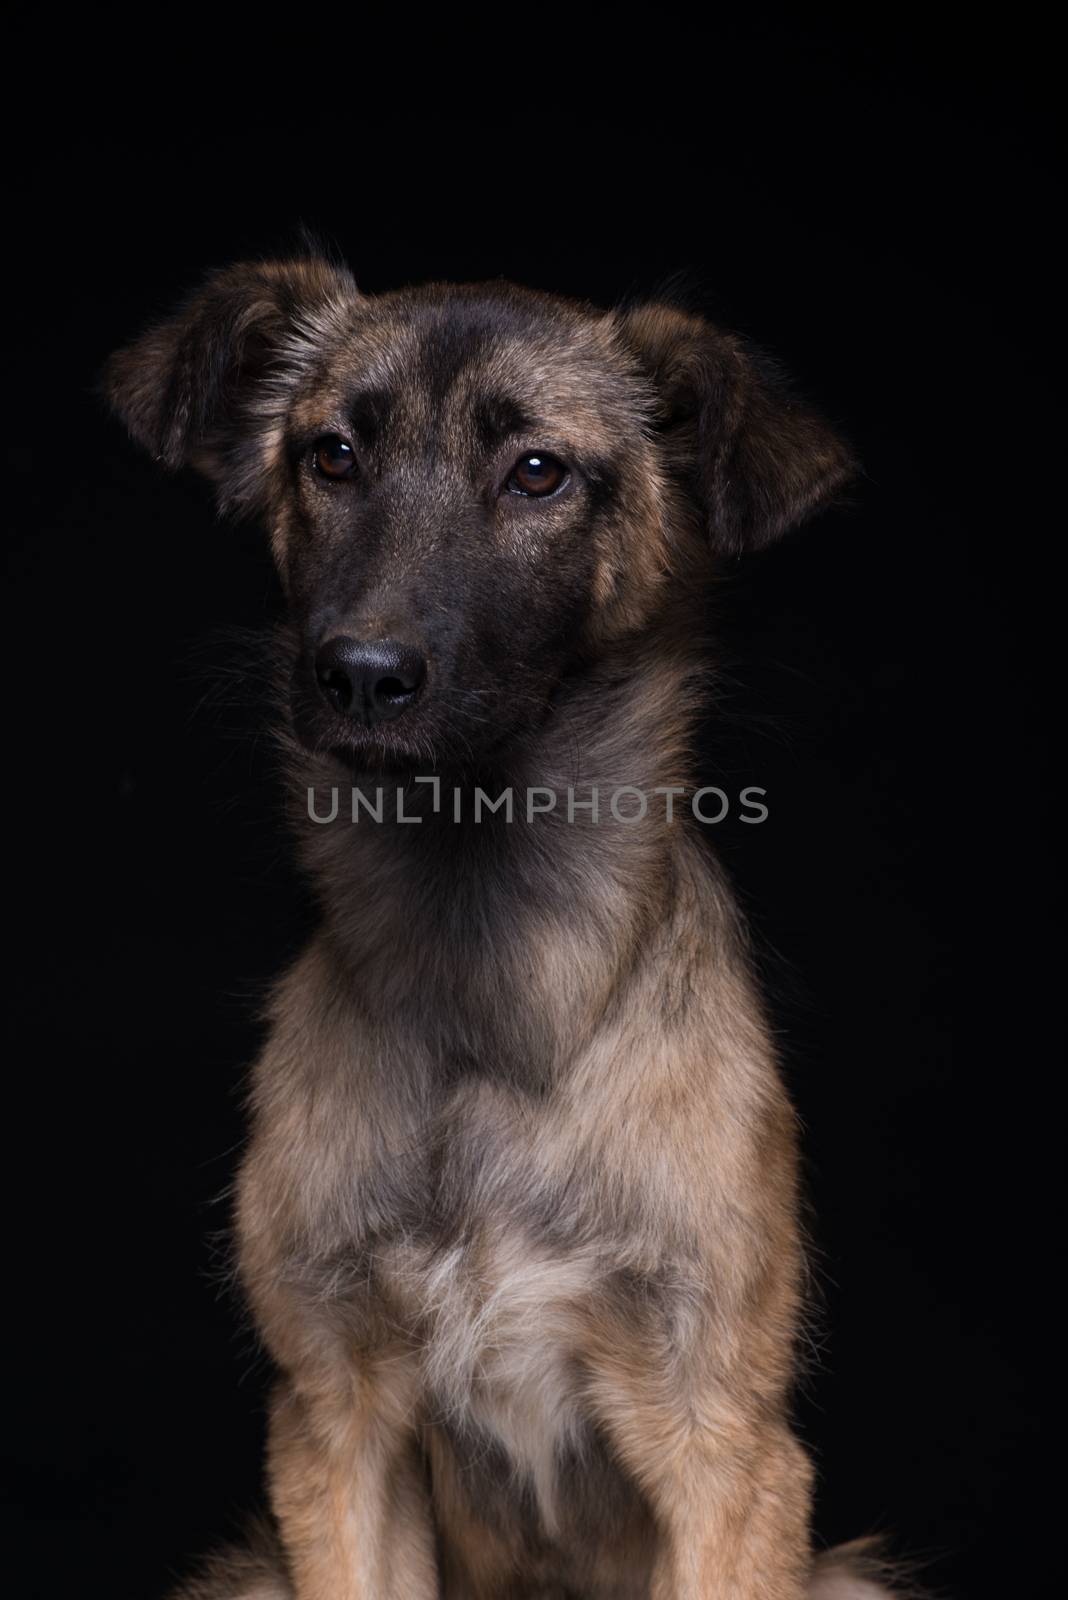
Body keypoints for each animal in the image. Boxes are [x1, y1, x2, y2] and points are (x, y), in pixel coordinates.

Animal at [108, 259, 895, 1600]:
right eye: (331, 455)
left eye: (538, 472)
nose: (361, 674)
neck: (487, 982)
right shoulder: (337, 1423)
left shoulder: (723, 1441)